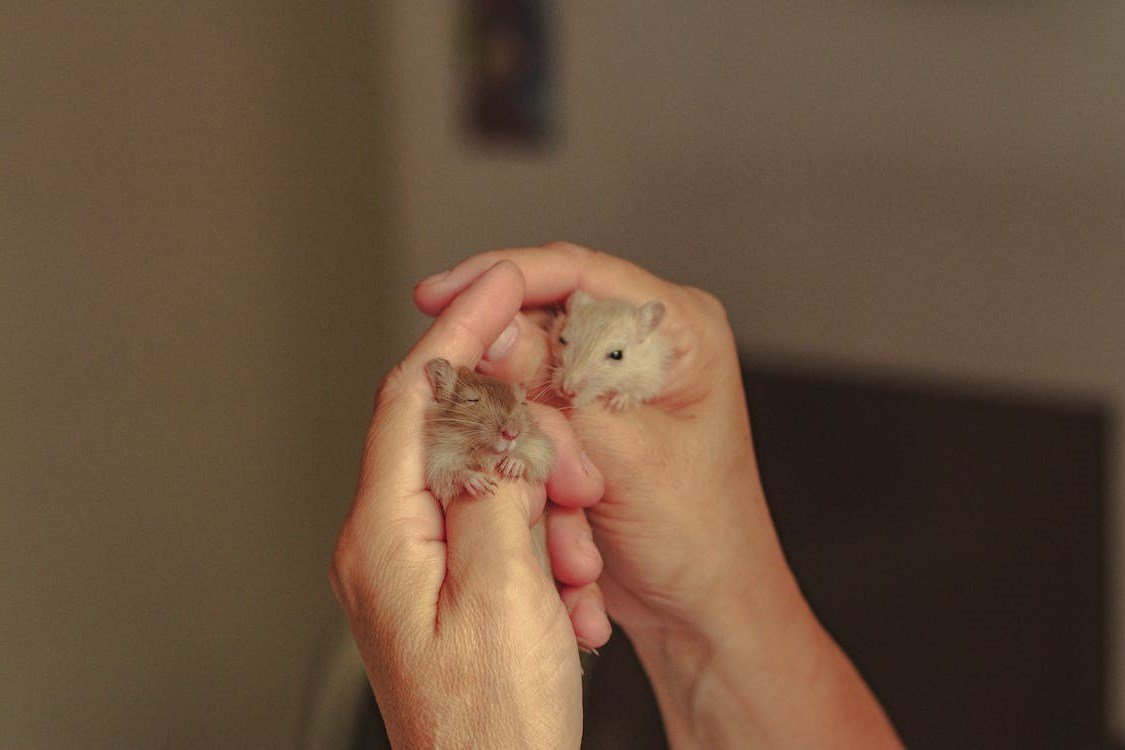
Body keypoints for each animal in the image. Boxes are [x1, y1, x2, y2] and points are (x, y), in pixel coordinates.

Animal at [423, 358, 555, 508]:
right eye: (471, 399)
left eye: (523, 403)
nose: (512, 434)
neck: (487, 453)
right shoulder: (438, 463)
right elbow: (454, 473)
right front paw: (482, 484)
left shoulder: (540, 449)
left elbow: (531, 457)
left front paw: (511, 466)